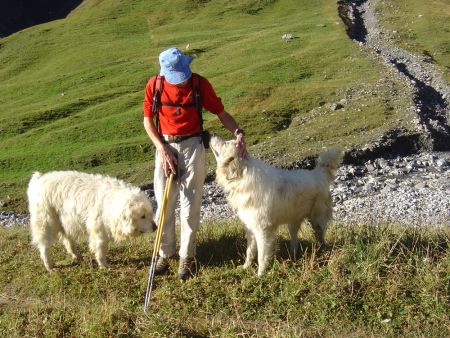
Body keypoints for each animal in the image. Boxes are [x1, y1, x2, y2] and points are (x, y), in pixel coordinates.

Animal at [27, 170, 156, 270]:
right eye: (142, 216)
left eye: (150, 213)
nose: (156, 227)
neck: (111, 203)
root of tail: (38, 180)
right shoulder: (98, 229)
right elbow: (100, 248)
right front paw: (104, 266)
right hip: (46, 223)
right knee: (44, 246)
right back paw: (49, 266)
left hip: (65, 222)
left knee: (68, 240)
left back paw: (77, 255)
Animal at [209, 136, 342, 276]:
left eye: (225, 143)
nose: (212, 136)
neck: (242, 176)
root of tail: (319, 173)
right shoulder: (250, 227)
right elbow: (250, 251)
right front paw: (246, 267)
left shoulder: (263, 230)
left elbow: (261, 256)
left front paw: (260, 275)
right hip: (293, 221)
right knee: (295, 239)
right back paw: (293, 255)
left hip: (317, 220)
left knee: (320, 236)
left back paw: (322, 251)